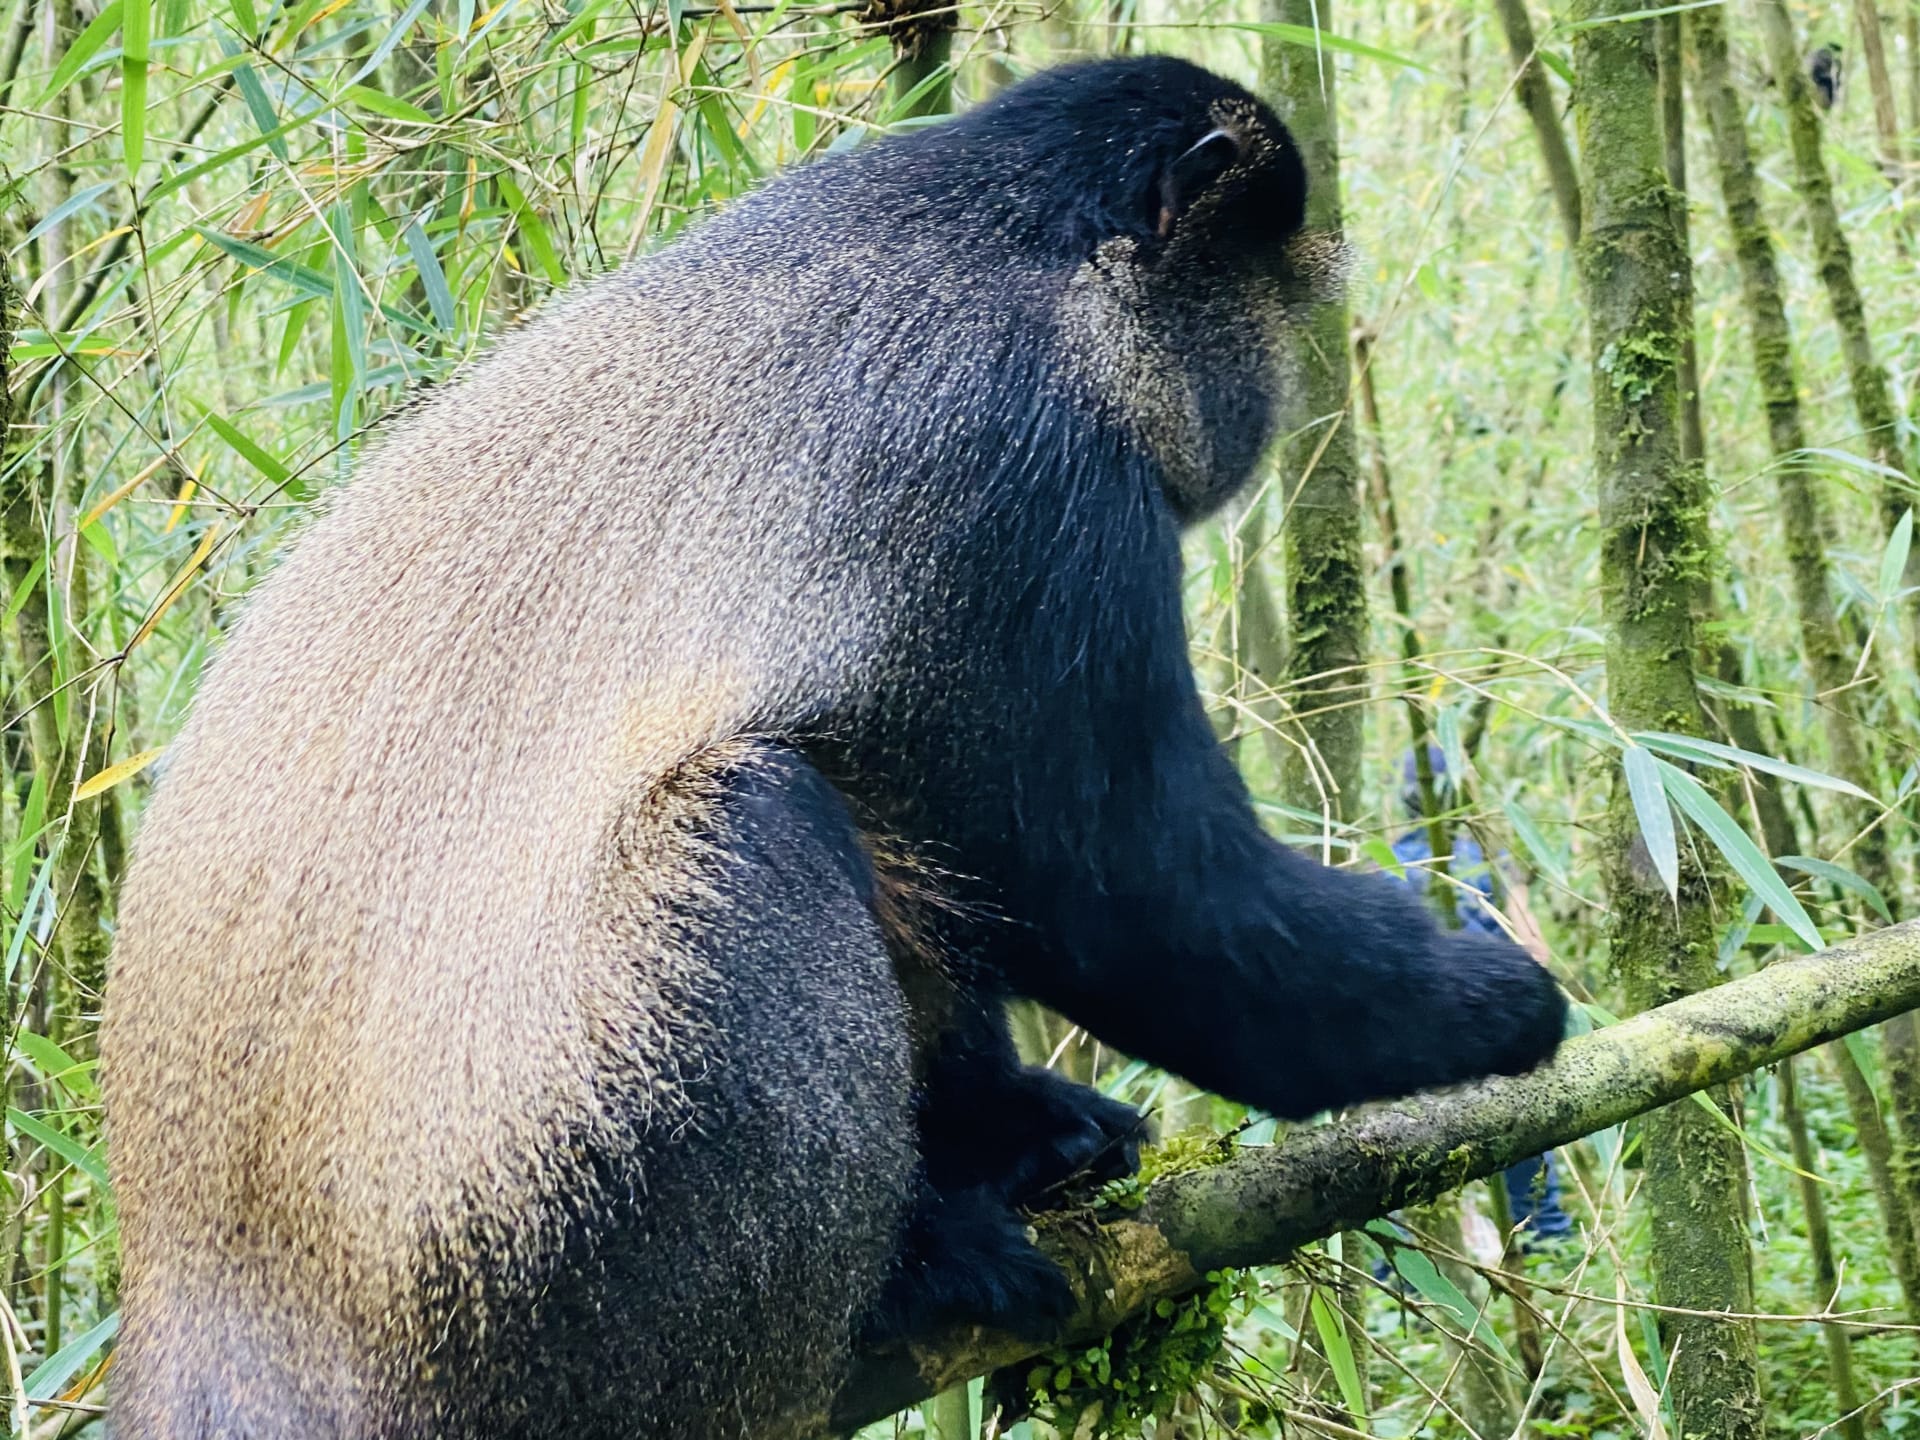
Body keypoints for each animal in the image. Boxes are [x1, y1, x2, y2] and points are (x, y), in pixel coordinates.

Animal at [101, 56, 1567, 1440]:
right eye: (1265, 299)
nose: (1279, 391)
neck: (1007, 243)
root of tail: (211, 1320)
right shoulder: (1029, 477)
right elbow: (1140, 898)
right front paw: (1495, 1004)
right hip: (557, 1267)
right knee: (762, 815)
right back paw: (915, 1272)